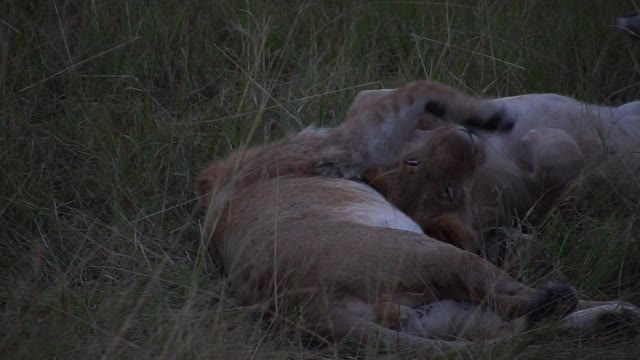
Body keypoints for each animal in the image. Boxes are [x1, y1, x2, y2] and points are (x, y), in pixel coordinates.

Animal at [196, 80, 640, 352]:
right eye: (414, 163)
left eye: (448, 188)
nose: (466, 136)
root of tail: (303, 305)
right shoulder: (343, 140)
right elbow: (416, 89)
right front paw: (488, 115)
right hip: (424, 254)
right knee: (517, 302)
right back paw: (571, 299)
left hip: (448, 314)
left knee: (522, 321)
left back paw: (615, 316)